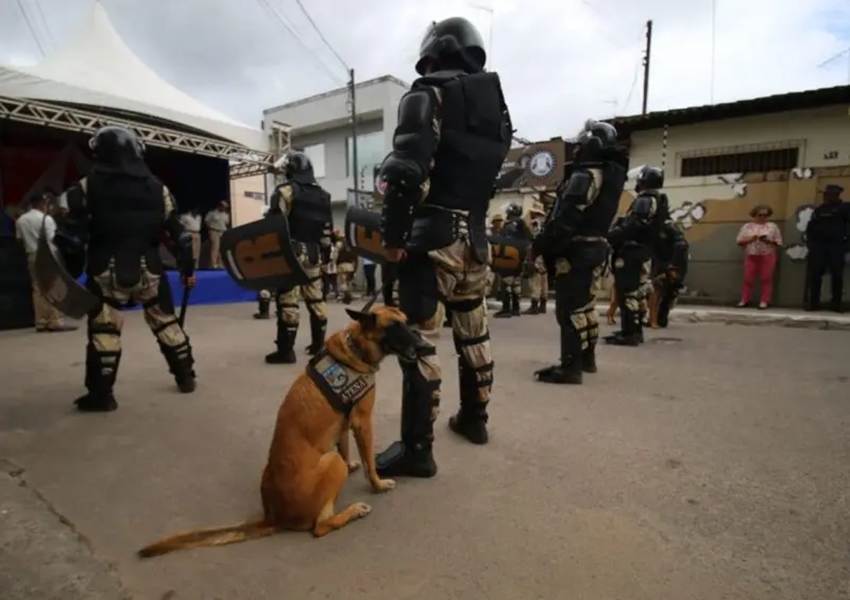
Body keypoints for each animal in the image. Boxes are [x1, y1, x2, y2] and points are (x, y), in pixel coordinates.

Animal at [137, 304, 424, 556]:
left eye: (407, 321)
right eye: (394, 327)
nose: (424, 347)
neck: (355, 349)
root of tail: (273, 515)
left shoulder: (345, 422)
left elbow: (344, 447)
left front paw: (352, 463)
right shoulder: (363, 421)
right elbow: (368, 462)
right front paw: (378, 484)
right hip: (330, 464)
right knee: (320, 527)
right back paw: (354, 511)